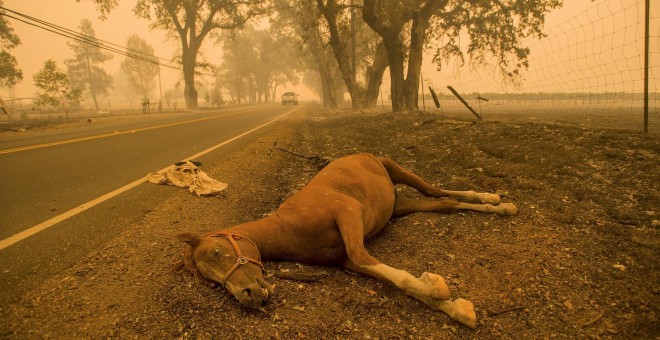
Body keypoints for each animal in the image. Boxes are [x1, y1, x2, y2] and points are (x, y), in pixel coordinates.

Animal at [178, 153, 520, 328]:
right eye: (211, 281)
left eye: (218, 251)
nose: (248, 295)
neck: (288, 227)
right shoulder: (344, 260)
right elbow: (393, 280)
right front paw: (458, 309)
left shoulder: (348, 214)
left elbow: (365, 256)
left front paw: (437, 286)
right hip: (399, 206)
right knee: (443, 203)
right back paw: (497, 205)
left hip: (397, 170)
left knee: (436, 191)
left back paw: (495, 200)